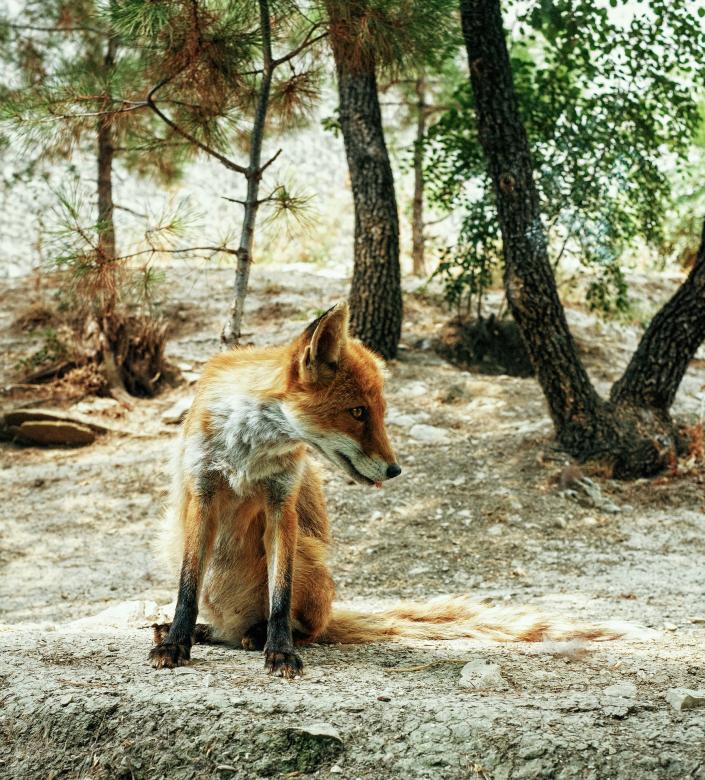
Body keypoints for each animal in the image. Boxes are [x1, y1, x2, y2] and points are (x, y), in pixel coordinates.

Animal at [149, 302, 630, 678]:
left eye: (379, 412)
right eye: (358, 412)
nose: (395, 469)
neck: (248, 450)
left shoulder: (281, 503)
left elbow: (279, 599)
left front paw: (280, 651)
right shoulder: (202, 493)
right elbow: (187, 589)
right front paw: (175, 643)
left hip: (307, 554)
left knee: (308, 627)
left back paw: (259, 635)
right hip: (175, 537)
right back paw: (204, 631)